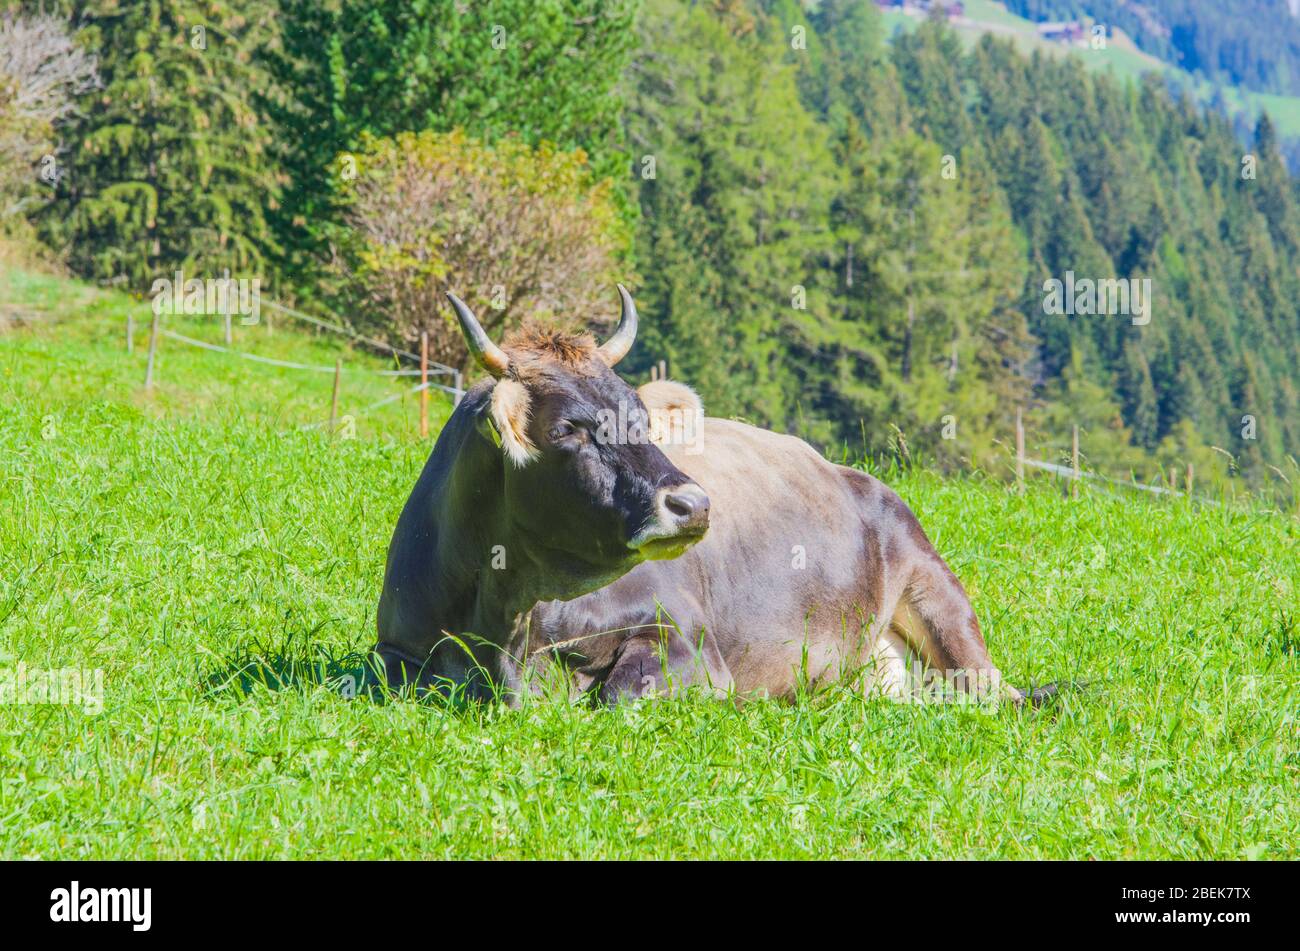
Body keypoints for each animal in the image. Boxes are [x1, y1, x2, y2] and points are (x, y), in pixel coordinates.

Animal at [375, 286, 1028, 707]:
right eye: (566, 430)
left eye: (640, 418)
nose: (693, 503)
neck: (510, 618)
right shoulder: (394, 651)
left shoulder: (687, 639)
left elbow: (619, 696)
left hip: (936, 590)